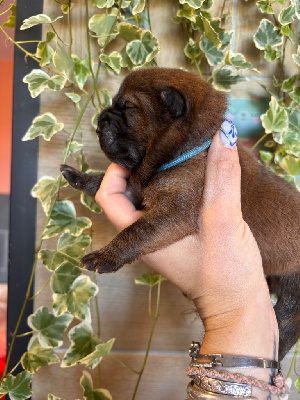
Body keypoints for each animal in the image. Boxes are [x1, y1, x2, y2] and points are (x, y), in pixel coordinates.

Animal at [60, 68, 300, 360]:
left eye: (128, 108)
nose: (99, 122)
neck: (187, 149)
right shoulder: (137, 192)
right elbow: (101, 184)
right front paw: (79, 176)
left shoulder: (174, 212)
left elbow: (136, 232)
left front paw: (105, 256)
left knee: (286, 325)